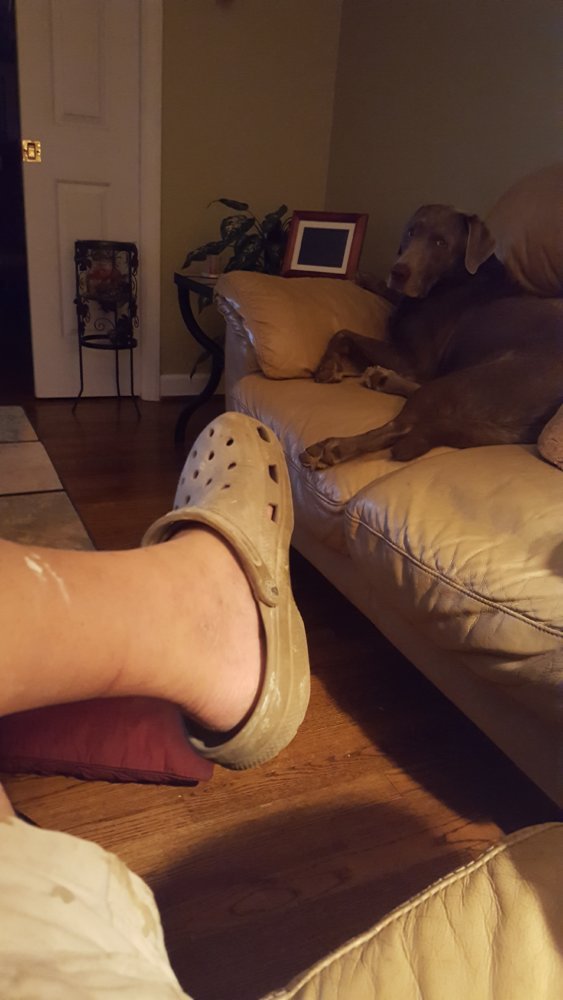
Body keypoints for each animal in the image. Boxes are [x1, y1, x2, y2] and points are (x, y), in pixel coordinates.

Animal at [300, 204, 563, 470]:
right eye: (410, 232)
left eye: (440, 243)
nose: (398, 272)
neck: (452, 277)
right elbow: (390, 298)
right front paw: (366, 278)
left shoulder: (414, 361)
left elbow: (343, 332)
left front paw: (327, 367)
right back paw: (382, 378)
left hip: (465, 381)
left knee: (401, 426)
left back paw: (334, 447)